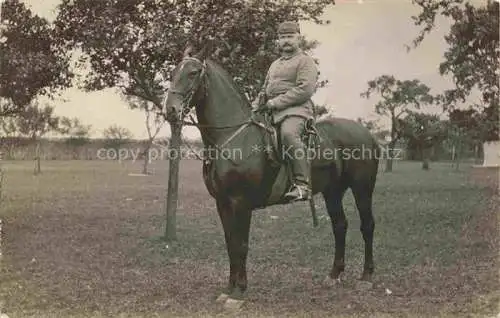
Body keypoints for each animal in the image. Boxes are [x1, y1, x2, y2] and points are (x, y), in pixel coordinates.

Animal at [163, 46, 378, 304]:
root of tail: (367, 134)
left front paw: (239, 291)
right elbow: (230, 243)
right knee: (340, 225)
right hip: (333, 191)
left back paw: (366, 277)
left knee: (367, 225)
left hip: (362, 189)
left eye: (193, 72)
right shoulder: (222, 203)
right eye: (174, 72)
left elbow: (241, 244)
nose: (170, 110)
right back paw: (334, 274)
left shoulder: (241, 203)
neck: (234, 137)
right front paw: (229, 288)